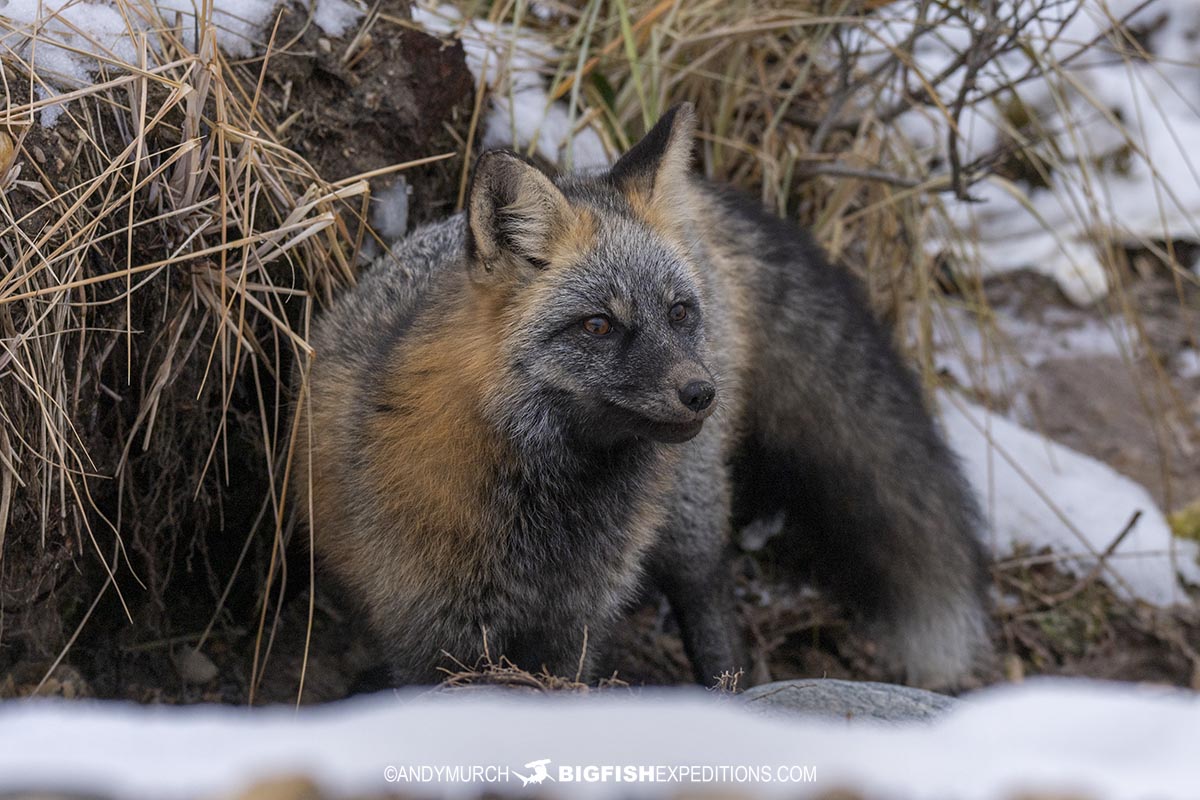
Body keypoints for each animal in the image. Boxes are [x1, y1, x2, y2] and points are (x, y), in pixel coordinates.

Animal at [295, 101, 988, 690]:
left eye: (679, 313)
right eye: (599, 325)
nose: (701, 393)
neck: (546, 523)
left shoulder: (576, 628)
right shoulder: (427, 632)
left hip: (688, 519)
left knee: (712, 605)